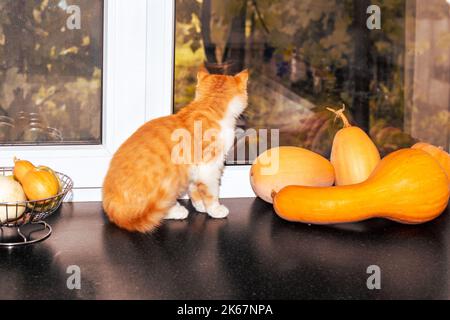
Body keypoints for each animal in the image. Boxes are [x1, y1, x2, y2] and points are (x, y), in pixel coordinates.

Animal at [103, 68, 250, 232]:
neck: (208, 106)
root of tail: (113, 210)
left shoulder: (193, 168)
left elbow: (194, 189)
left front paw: (200, 206)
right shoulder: (209, 168)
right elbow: (211, 192)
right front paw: (215, 210)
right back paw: (176, 211)